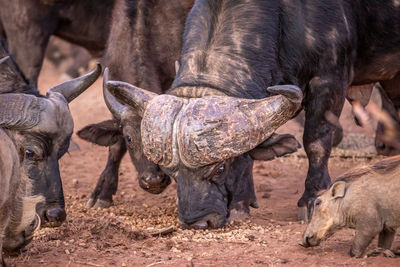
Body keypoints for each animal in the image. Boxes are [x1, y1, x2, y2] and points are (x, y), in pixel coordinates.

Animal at [104, 0, 400, 228]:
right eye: (171, 172)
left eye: (219, 168)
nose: (197, 222)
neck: (283, 19)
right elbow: (249, 152)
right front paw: (241, 204)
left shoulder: (328, 80)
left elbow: (316, 141)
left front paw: (311, 198)